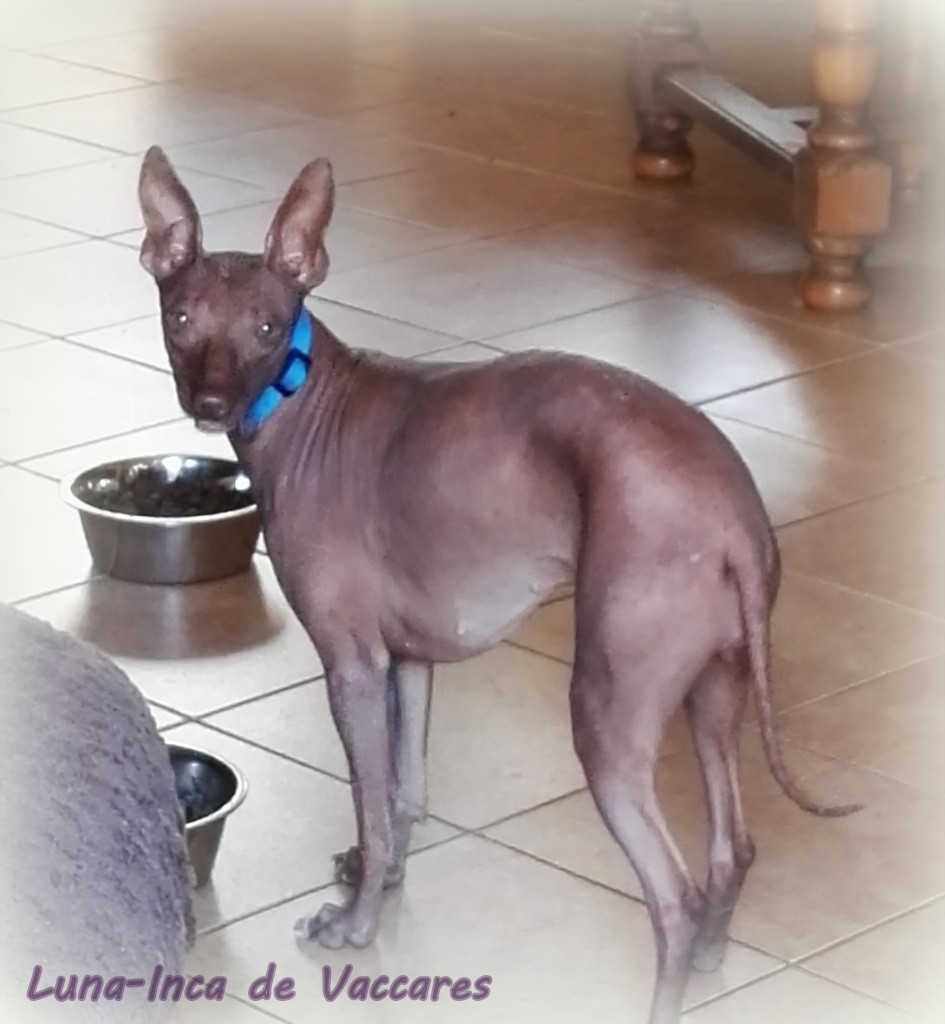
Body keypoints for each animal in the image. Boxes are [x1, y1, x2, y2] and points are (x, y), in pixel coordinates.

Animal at [137, 147, 857, 1024]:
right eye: (182, 320)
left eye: (268, 329)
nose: (209, 402)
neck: (304, 399)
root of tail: (734, 518)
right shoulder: (409, 664)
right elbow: (402, 797)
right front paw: (381, 883)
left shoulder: (351, 666)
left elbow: (370, 800)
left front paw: (356, 926)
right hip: (711, 694)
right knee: (732, 851)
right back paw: (714, 958)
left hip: (608, 714)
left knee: (673, 897)